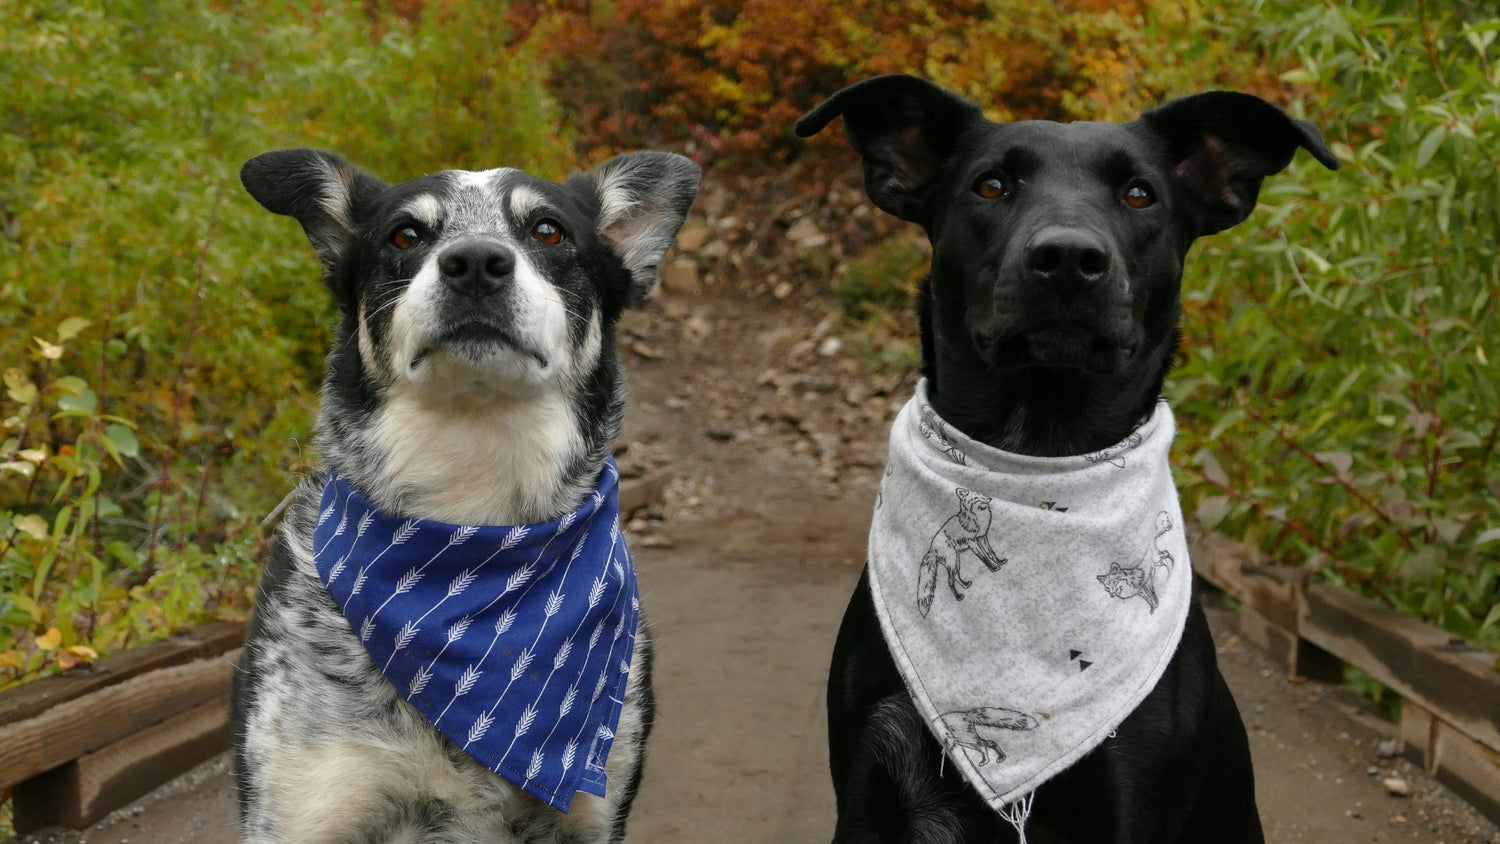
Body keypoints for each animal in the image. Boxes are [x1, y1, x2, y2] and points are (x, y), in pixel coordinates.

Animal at [798, 74, 1338, 844]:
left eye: (1140, 194)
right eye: (991, 185)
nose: (1068, 259)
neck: (1038, 450)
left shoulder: (1126, 800)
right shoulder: (873, 791)